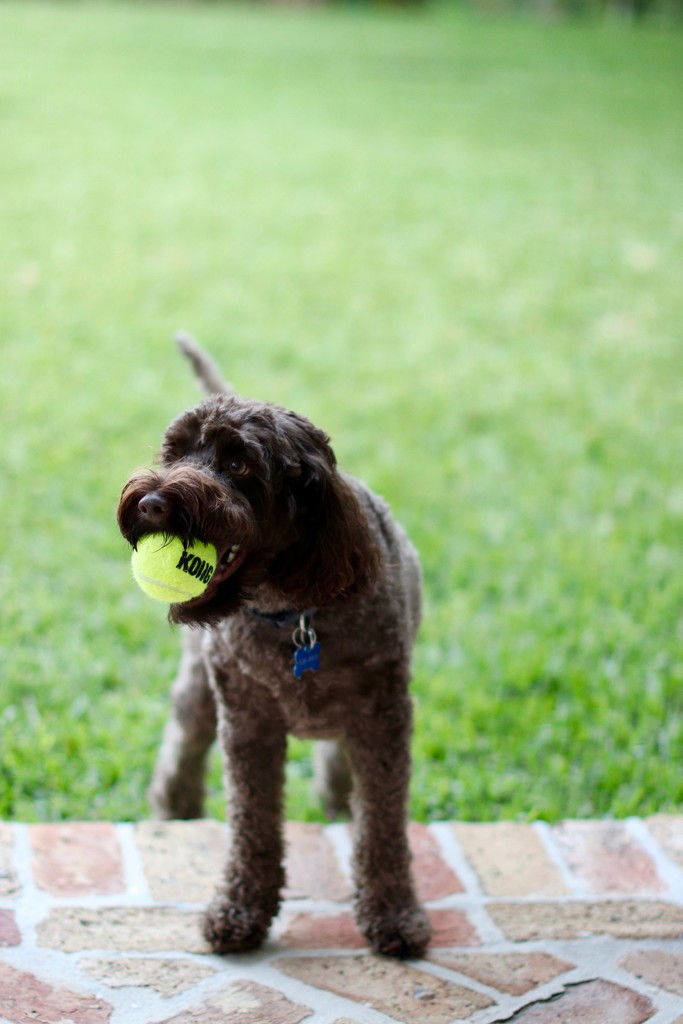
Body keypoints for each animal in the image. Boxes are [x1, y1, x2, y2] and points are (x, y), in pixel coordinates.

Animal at [114, 337, 430, 958]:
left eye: (238, 464)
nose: (154, 502)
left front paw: (393, 913)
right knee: (183, 748)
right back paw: (175, 811)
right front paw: (241, 911)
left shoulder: (383, 721)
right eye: (173, 452)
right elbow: (253, 824)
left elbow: (382, 826)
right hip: (199, 694)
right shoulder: (247, 724)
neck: (294, 613)